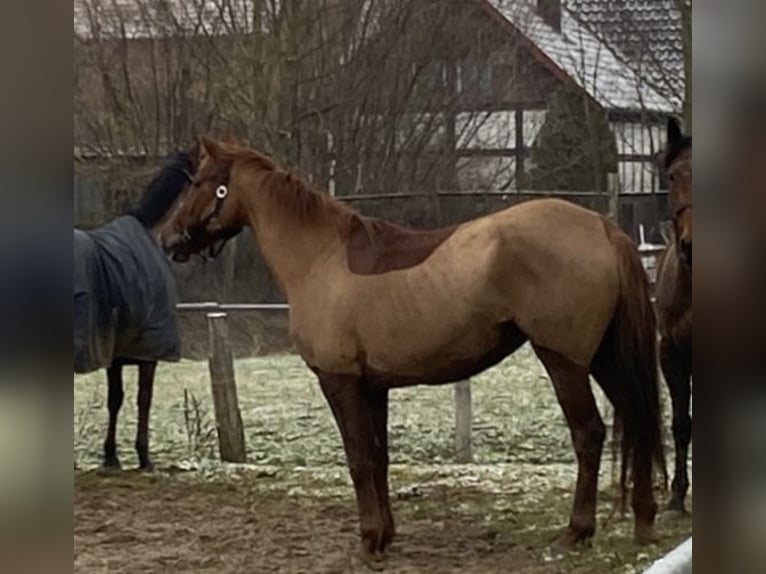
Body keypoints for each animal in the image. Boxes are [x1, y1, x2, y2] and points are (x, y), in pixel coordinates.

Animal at [74, 150, 194, 470]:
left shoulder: (116, 352)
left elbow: (115, 398)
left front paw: (111, 456)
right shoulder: (148, 353)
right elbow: (143, 398)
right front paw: (143, 455)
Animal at [160, 137, 667, 556]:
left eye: (199, 182)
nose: (168, 238)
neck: (320, 258)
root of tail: (603, 227)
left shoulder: (339, 382)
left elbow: (359, 459)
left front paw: (369, 540)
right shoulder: (373, 387)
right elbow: (379, 457)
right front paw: (385, 534)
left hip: (563, 359)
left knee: (589, 433)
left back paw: (577, 531)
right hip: (605, 357)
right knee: (637, 418)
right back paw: (643, 521)